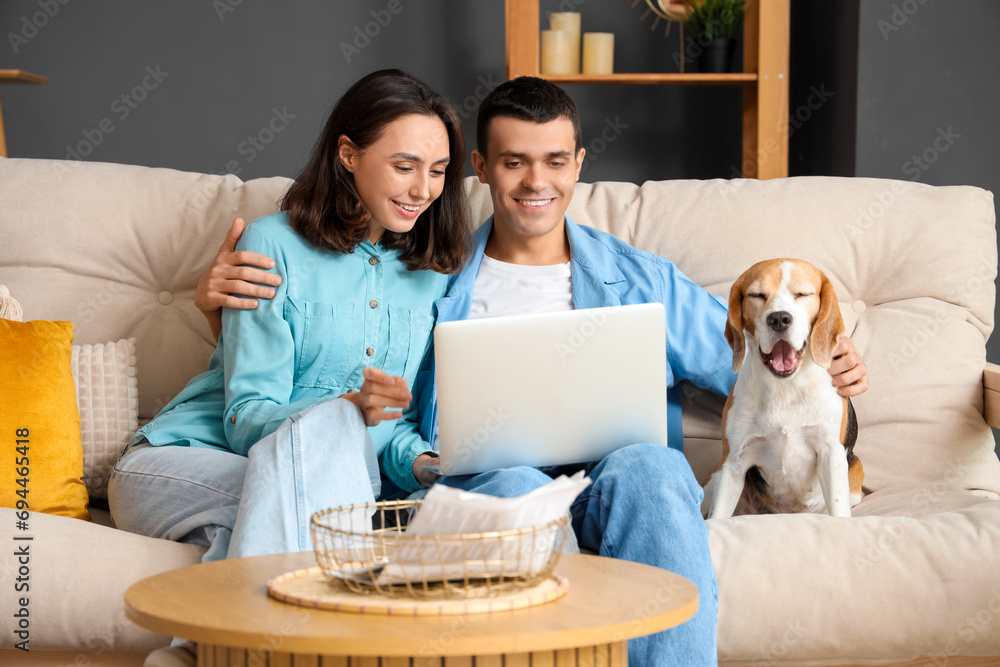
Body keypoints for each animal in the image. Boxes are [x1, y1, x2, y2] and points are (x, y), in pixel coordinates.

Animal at [704, 258, 860, 520]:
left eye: (802, 294)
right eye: (756, 295)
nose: (779, 319)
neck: (785, 387)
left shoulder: (831, 454)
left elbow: (839, 510)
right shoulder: (733, 462)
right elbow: (718, 518)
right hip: (713, 477)